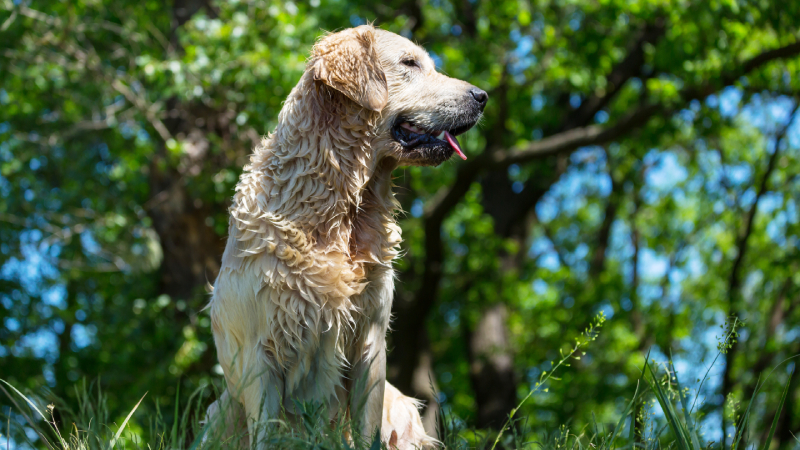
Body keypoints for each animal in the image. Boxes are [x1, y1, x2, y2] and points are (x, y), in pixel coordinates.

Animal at [206, 24, 484, 446]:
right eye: (410, 63)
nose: (482, 97)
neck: (339, 211)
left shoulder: (371, 341)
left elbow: (366, 429)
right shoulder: (259, 355)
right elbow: (268, 430)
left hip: (401, 409)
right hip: (220, 410)